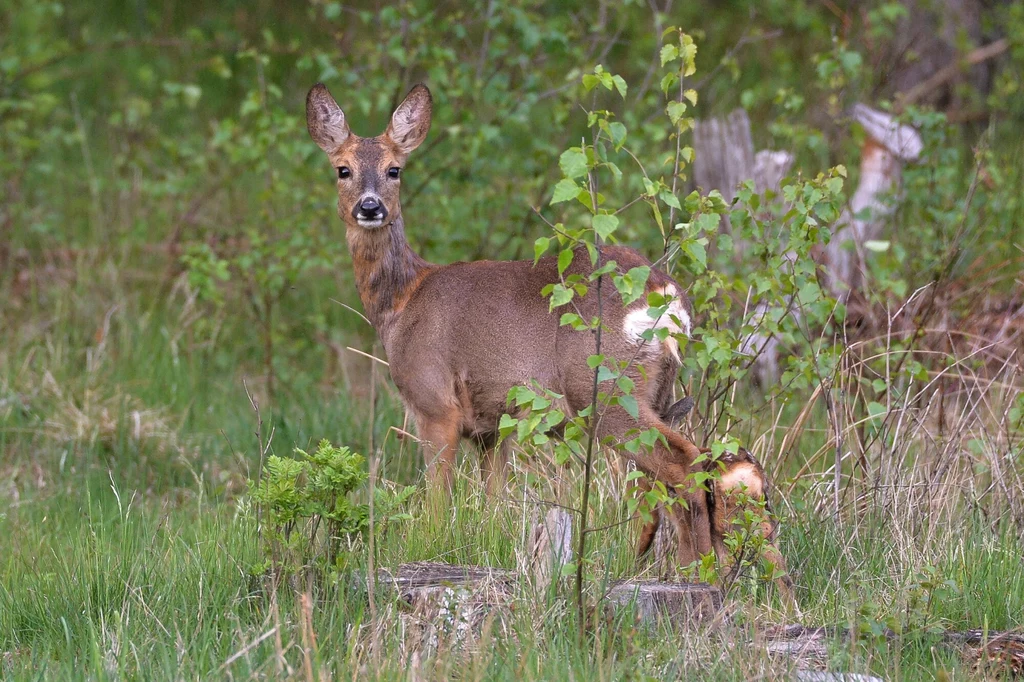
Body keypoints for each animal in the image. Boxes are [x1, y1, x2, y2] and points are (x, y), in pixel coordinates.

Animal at [307, 82, 716, 561]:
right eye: (342, 170)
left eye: (395, 170)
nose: (370, 207)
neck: (402, 303)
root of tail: (665, 295)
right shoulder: (491, 427)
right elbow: (495, 503)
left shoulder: (435, 402)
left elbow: (436, 500)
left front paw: (429, 544)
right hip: (656, 392)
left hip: (606, 388)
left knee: (684, 465)